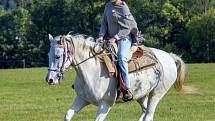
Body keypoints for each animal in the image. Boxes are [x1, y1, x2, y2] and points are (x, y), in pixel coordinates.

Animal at [46, 33, 187, 121]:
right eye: (48, 55)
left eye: (58, 56)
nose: (49, 79)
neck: (91, 71)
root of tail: (169, 56)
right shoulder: (81, 99)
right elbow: (68, 115)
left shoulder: (105, 105)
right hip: (141, 95)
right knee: (146, 111)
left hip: (156, 94)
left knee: (149, 115)